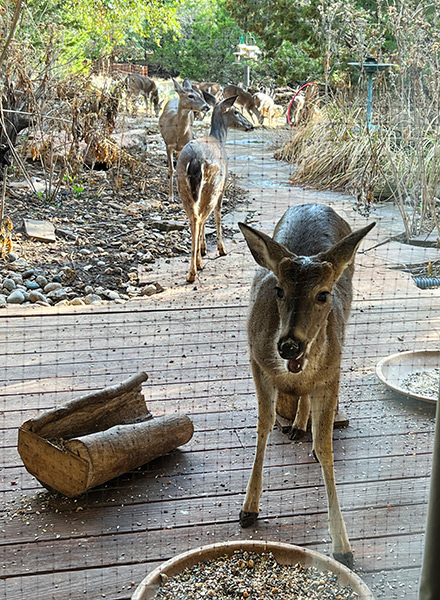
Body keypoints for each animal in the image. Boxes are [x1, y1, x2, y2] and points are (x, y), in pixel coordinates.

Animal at [176, 95, 254, 282]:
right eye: (236, 111)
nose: (251, 125)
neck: (218, 139)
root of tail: (195, 160)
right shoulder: (224, 184)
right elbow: (218, 215)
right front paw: (221, 249)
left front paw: (204, 249)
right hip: (213, 185)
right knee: (201, 217)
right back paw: (195, 269)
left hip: (183, 186)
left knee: (194, 217)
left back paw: (194, 266)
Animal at [238, 203, 375, 569]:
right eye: (279, 290)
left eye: (323, 294)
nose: (289, 345)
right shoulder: (256, 361)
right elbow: (263, 426)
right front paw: (248, 509)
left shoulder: (332, 373)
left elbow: (326, 446)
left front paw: (343, 547)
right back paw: (298, 425)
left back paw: (302, 427)